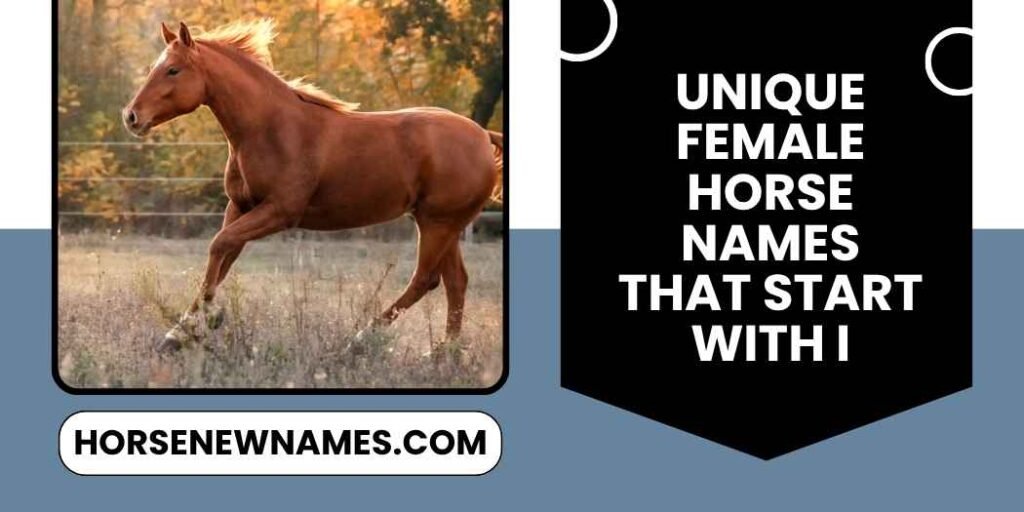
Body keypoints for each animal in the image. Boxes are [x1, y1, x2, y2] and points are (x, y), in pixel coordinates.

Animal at [122, 19, 503, 353]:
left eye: (173, 70)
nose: (131, 117)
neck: (271, 128)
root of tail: (484, 137)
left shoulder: (280, 212)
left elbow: (219, 246)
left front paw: (194, 326)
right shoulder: (240, 207)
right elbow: (222, 257)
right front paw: (180, 333)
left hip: (438, 223)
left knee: (425, 279)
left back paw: (359, 341)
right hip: (441, 224)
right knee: (455, 282)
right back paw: (442, 353)